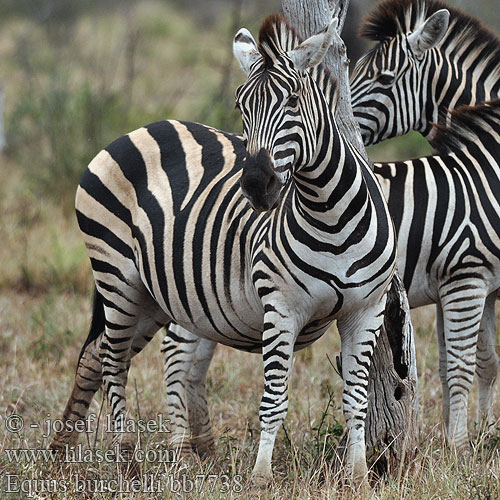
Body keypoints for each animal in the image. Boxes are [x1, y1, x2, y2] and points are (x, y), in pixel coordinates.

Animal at [51, 13, 398, 486]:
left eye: (293, 100)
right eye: (241, 107)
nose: (256, 185)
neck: (331, 216)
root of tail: (143, 127)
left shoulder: (366, 309)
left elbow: (356, 398)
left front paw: (359, 476)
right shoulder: (281, 307)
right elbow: (274, 399)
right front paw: (262, 477)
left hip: (154, 295)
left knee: (92, 356)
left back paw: (61, 451)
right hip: (116, 276)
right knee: (112, 362)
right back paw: (127, 461)